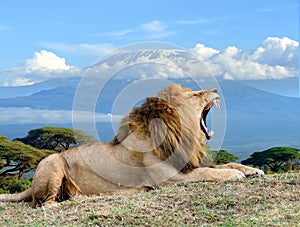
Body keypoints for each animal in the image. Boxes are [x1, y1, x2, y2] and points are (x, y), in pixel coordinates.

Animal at [0, 84, 262, 207]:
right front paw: (235, 175)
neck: (179, 135)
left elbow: (224, 163)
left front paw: (252, 170)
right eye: (196, 94)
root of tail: (31, 185)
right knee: (45, 204)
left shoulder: (187, 164)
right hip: (53, 161)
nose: (216, 90)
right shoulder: (169, 179)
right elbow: (208, 172)